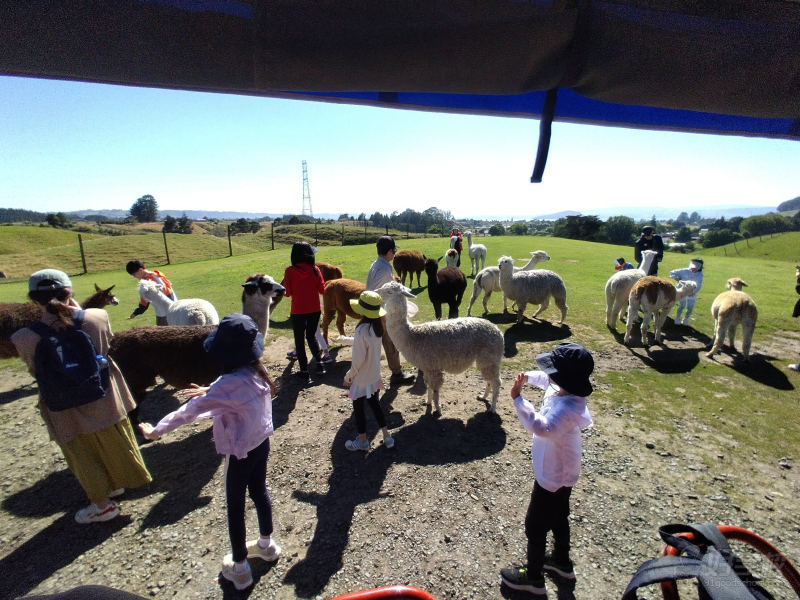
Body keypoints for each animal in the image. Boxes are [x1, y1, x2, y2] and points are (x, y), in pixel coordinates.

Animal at [376, 280, 504, 413]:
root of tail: (498, 331)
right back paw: (483, 396)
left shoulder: (433, 367)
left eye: (389, 291)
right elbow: (429, 387)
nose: (376, 292)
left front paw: (438, 408)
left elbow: (435, 389)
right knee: (490, 380)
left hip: (490, 356)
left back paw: (493, 408)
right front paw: (428, 402)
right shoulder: (427, 367)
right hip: (487, 360)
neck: (412, 336)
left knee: (496, 382)